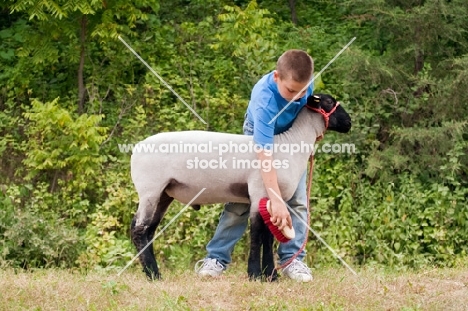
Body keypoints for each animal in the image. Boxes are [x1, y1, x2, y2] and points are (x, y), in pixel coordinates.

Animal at [130, 94, 350, 282]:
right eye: (329, 102)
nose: (349, 123)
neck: (289, 145)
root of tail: (137, 147)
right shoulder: (258, 193)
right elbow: (257, 235)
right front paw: (255, 274)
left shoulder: (272, 201)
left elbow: (268, 238)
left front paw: (271, 276)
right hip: (150, 189)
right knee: (139, 229)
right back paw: (153, 275)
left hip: (164, 194)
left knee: (149, 230)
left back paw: (153, 272)